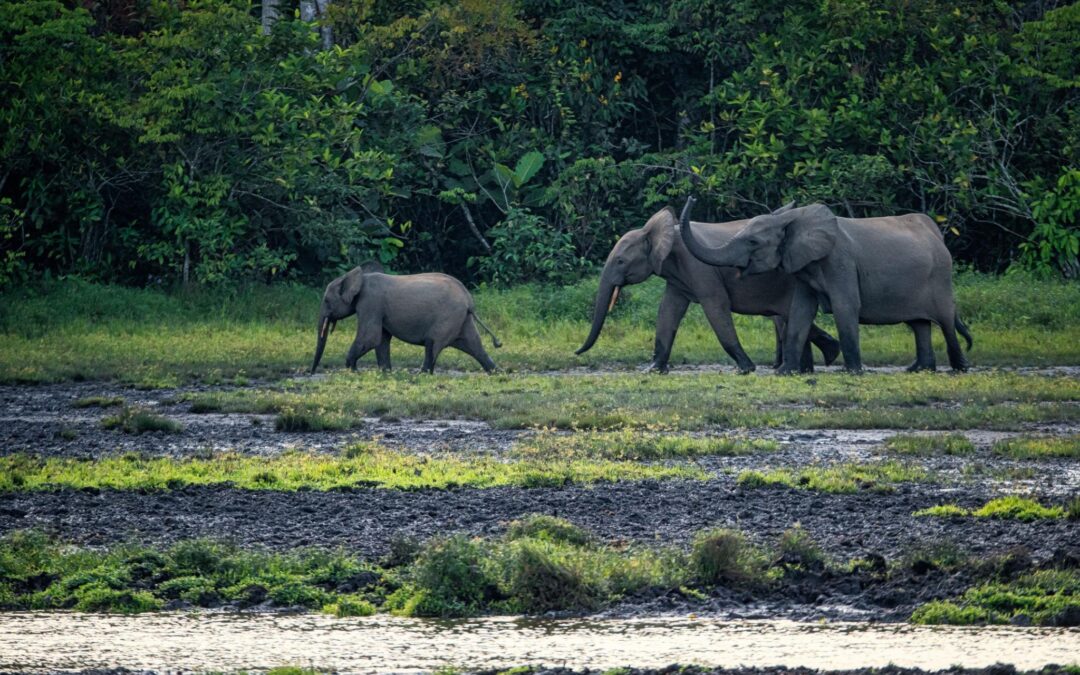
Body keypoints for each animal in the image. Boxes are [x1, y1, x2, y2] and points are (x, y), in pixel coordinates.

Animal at [310, 262, 502, 374]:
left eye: (326, 301)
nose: (310, 373)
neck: (359, 277)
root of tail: (469, 300)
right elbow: (381, 340)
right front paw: (385, 373)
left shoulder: (371, 303)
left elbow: (370, 337)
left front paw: (352, 370)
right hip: (461, 319)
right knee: (474, 345)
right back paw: (496, 372)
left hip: (448, 317)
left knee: (432, 343)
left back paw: (421, 375)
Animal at [575, 206, 841, 373]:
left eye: (620, 261)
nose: (577, 352)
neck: (658, 231)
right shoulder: (678, 277)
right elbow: (668, 311)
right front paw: (653, 370)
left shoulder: (699, 268)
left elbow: (716, 307)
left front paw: (746, 369)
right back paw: (819, 360)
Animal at [677, 196, 973, 374]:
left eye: (752, 242)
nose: (691, 198)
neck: (793, 219)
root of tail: (935, 233)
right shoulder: (803, 266)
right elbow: (800, 311)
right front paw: (784, 372)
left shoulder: (840, 260)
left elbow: (845, 307)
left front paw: (852, 372)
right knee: (919, 323)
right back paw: (918, 369)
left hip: (941, 276)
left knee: (945, 321)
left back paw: (959, 368)